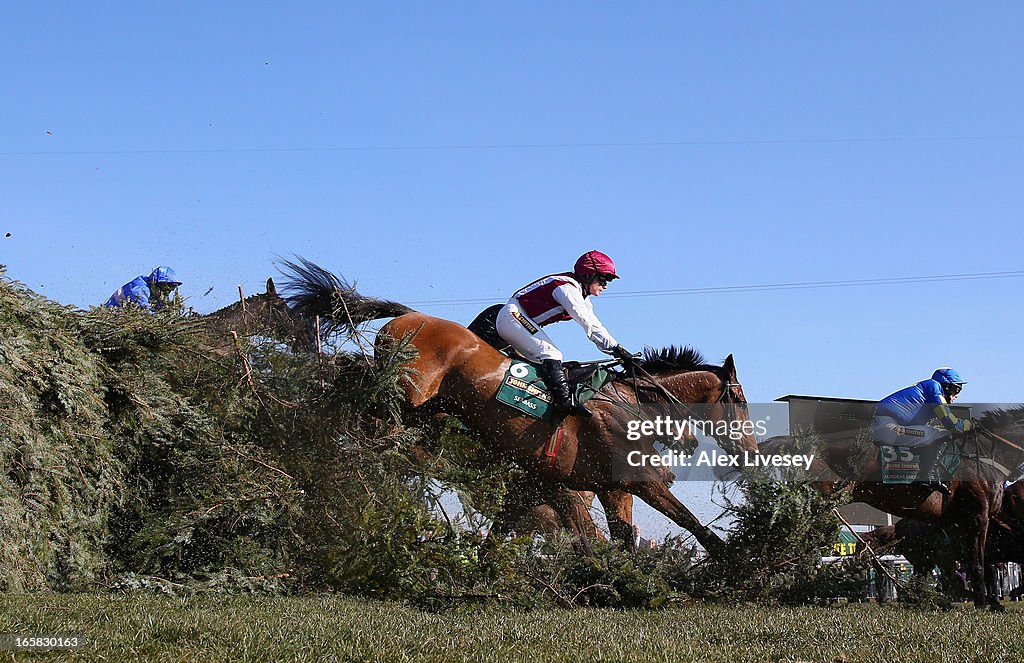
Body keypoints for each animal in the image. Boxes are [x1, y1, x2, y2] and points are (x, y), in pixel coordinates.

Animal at [284, 259, 765, 553]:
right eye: (739, 400)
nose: (751, 454)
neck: (632, 406)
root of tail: (407, 316)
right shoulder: (632, 483)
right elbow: (688, 525)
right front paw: (735, 565)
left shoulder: (583, 488)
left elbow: (607, 541)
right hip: (406, 392)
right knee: (353, 383)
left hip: (416, 406)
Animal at [770, 407, 1024, 610]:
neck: (986, 455)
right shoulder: (977, 516)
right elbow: (977, 562)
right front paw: (985, 603)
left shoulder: (952, 526)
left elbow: (963, 568)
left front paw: (986, 600)